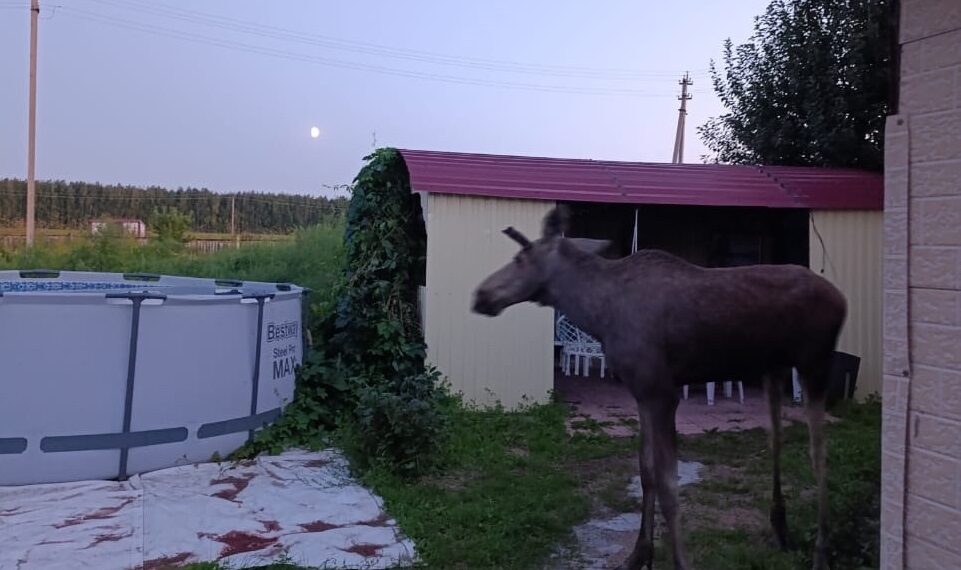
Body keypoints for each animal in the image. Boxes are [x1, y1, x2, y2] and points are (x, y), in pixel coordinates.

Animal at [470, 205, 840, 568]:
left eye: (521, 257)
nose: (480, 295)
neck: (598, 313)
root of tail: (842, 300)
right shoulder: (641, 393)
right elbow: (645, 471)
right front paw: (639, 553)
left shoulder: (662, 393)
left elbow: (668, 485)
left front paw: (677, 560)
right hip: (773, 369)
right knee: (776, 439)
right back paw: (780, 526)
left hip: (815, 364)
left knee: (819, 452)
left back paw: (822, 550)